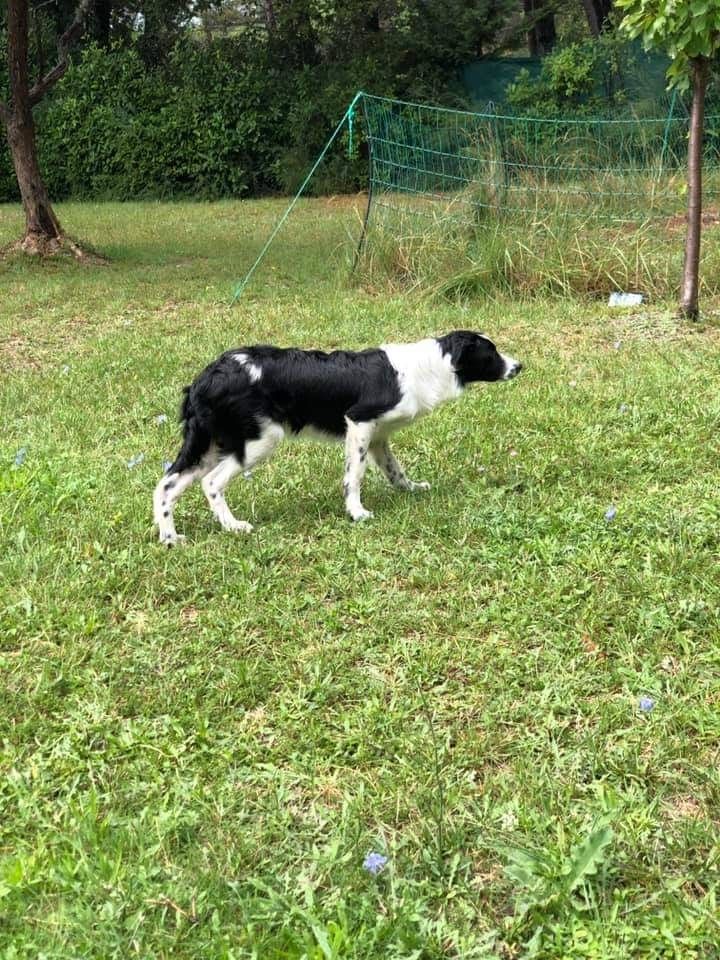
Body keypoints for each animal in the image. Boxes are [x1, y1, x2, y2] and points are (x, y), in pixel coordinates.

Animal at [153, 330, 524, 540]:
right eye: (491, 353)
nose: (519, 366)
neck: (430, 366)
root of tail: (207, 377)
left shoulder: (378, 436)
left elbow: (395, 471)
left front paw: (411, 489)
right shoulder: (359, 423)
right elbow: (354, 476)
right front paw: (356, 513)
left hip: (212, 444)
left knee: (166, 486)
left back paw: (170, 538)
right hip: (258, 440)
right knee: (211, 483)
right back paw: (233, 527)